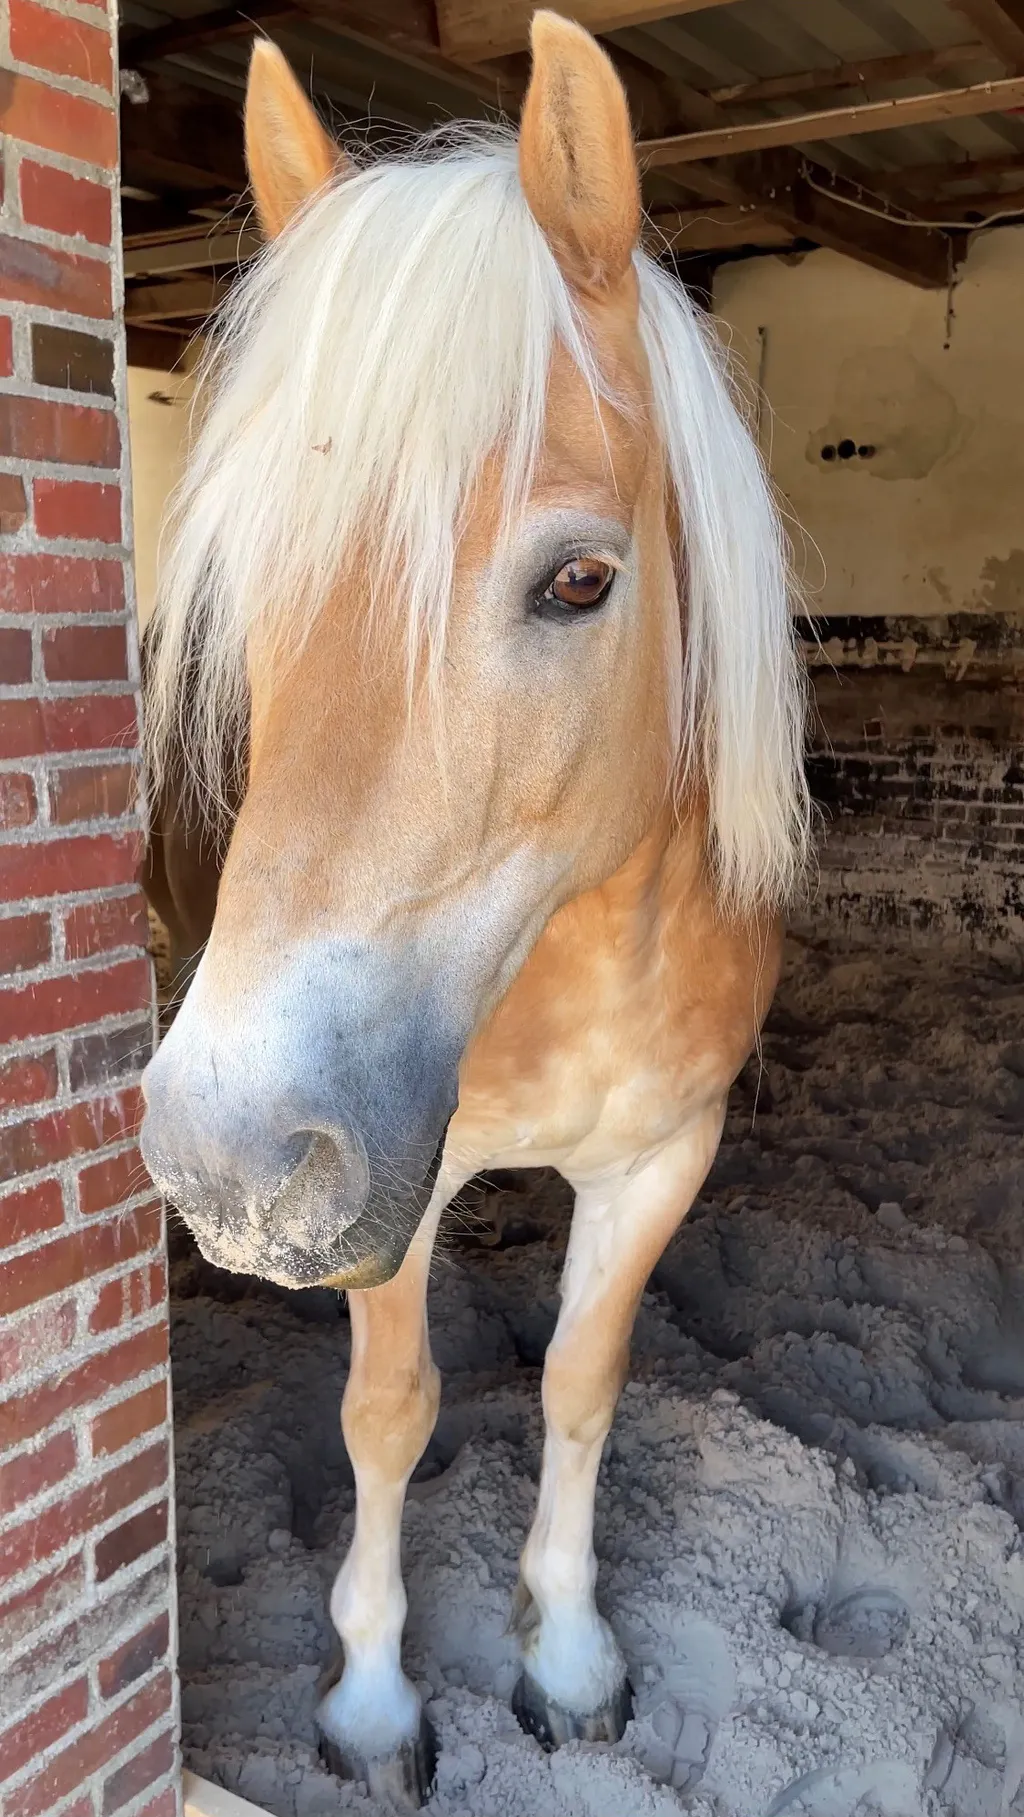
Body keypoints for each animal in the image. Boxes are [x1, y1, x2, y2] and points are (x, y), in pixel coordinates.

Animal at [139, 14, 808, 1807]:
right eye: (245, 584)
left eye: (579, 580)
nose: (231, 1160)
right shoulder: (389, 1188)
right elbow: (389, 1412)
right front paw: (371, 1700)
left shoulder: (661, 1155)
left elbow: (580, 1381)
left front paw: (565, 1655)